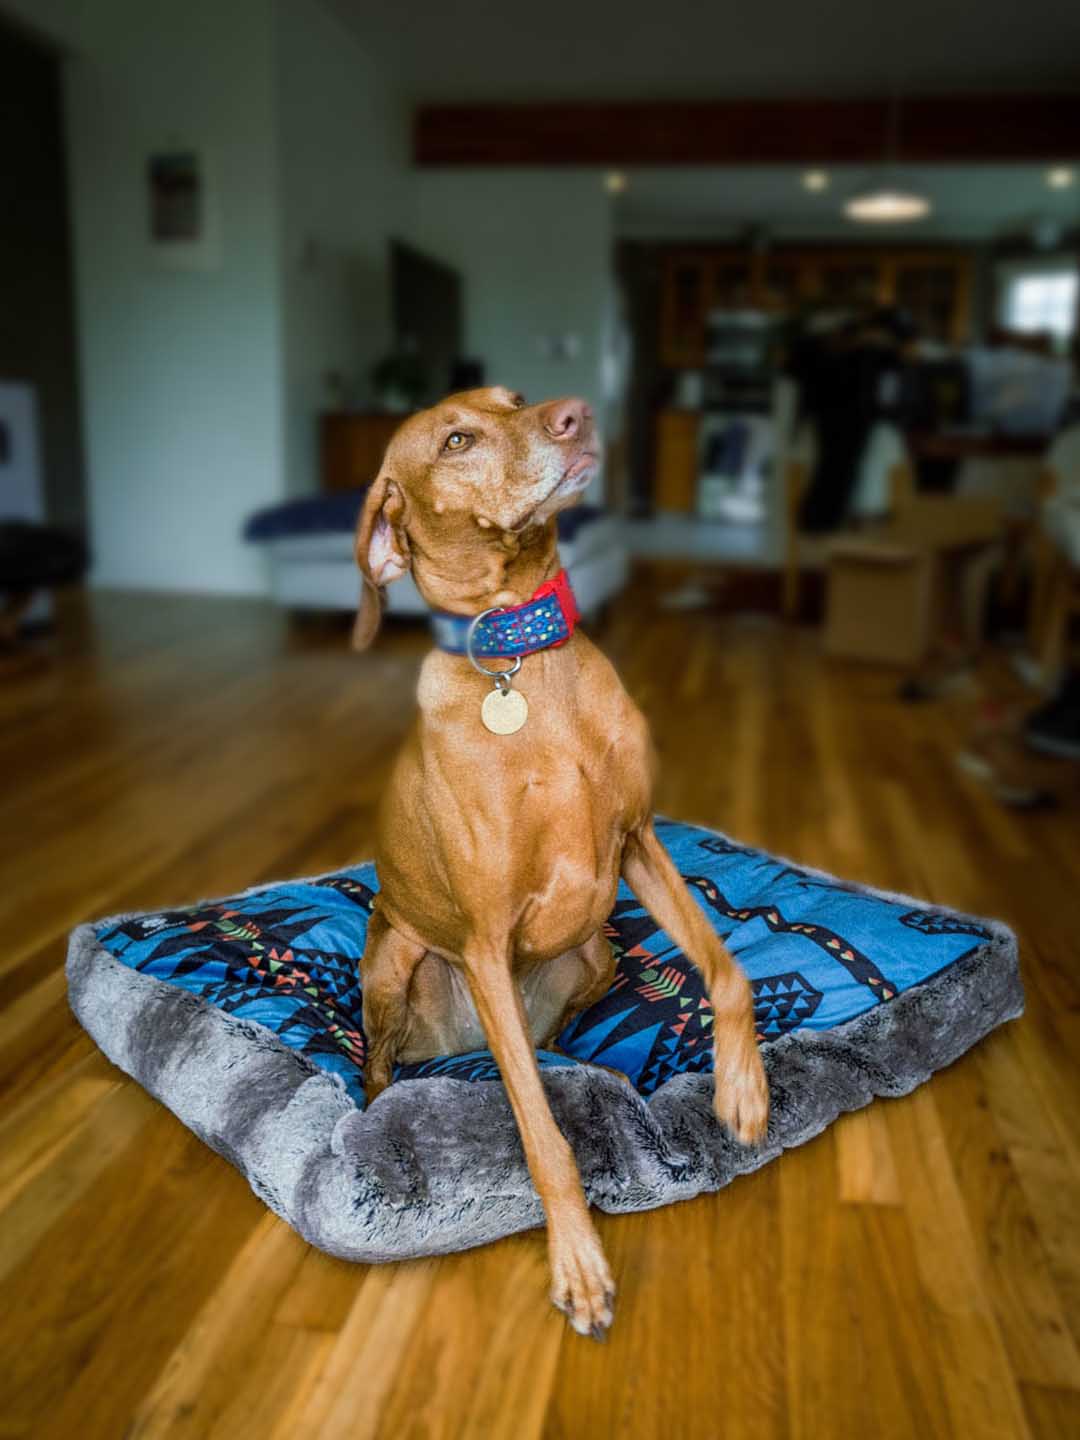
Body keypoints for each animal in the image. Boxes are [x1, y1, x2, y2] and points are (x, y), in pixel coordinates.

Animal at [355, 385, 771, 1336]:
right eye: (457, 439)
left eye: (512, 399)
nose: (576, 413)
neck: (525, 664)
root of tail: (454, 1049)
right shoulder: (482, 943)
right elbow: (545, 1140)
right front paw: (579, 1264)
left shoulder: (641, 843)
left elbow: (728, 970)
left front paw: (743, 1091)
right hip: (399, 962)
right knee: (381, 1063)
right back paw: (376, 1103)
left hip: (597, 952)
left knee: (544, 1046)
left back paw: (582, 1065)